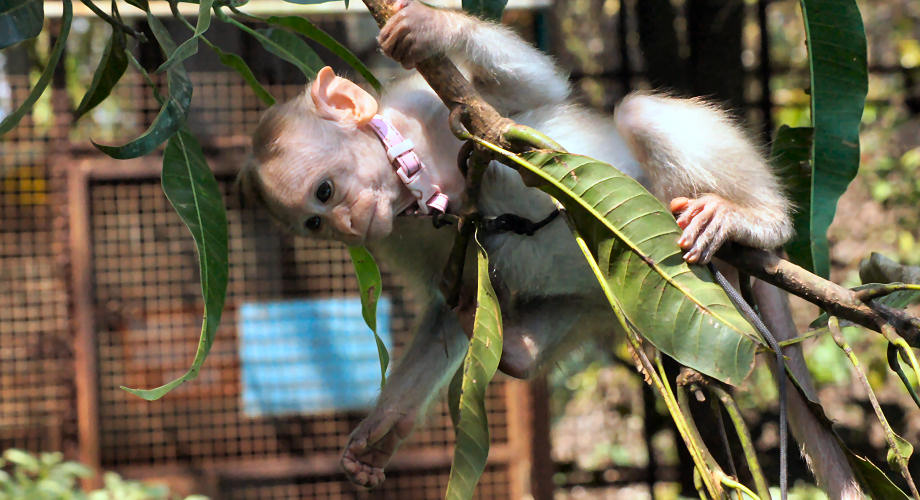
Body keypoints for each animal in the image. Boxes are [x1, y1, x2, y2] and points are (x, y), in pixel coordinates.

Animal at [242, 1, 862, 497]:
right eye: (314, 222)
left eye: (325, 192)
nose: (349, 228)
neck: (420, 178)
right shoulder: (400, 233)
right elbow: (447, 304)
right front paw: (378, 434)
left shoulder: (428, 108)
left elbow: (531, 96)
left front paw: (434, 26)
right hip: (610, 300)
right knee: (539, 321)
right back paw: (516, 346)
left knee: (640, 114)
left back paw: (754, 220)